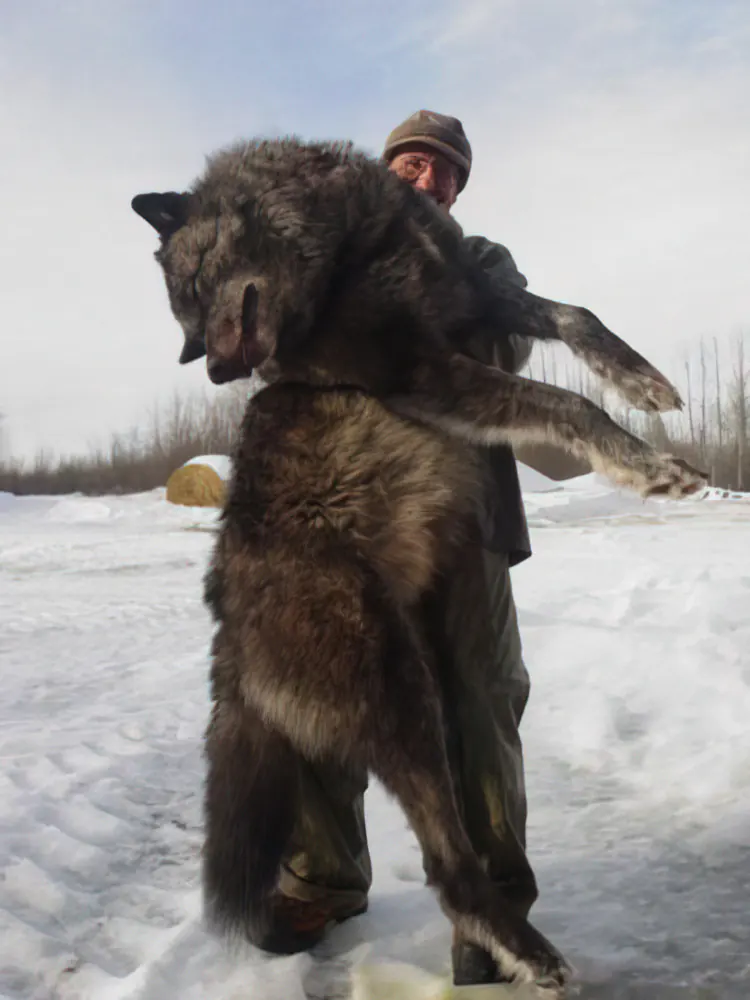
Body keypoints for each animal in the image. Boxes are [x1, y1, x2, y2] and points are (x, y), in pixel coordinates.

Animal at [134, 137, 704, 996]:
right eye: (184, 314)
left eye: (195, 287)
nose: (211, 374)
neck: (353, 244)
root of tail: (227, 638)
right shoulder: (429, 371)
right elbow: (565, 405)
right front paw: (651, 468)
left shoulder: (476, 299)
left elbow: (574, 314)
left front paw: (643, 380)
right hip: (404, 705)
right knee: (448, 869)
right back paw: (528, 954)